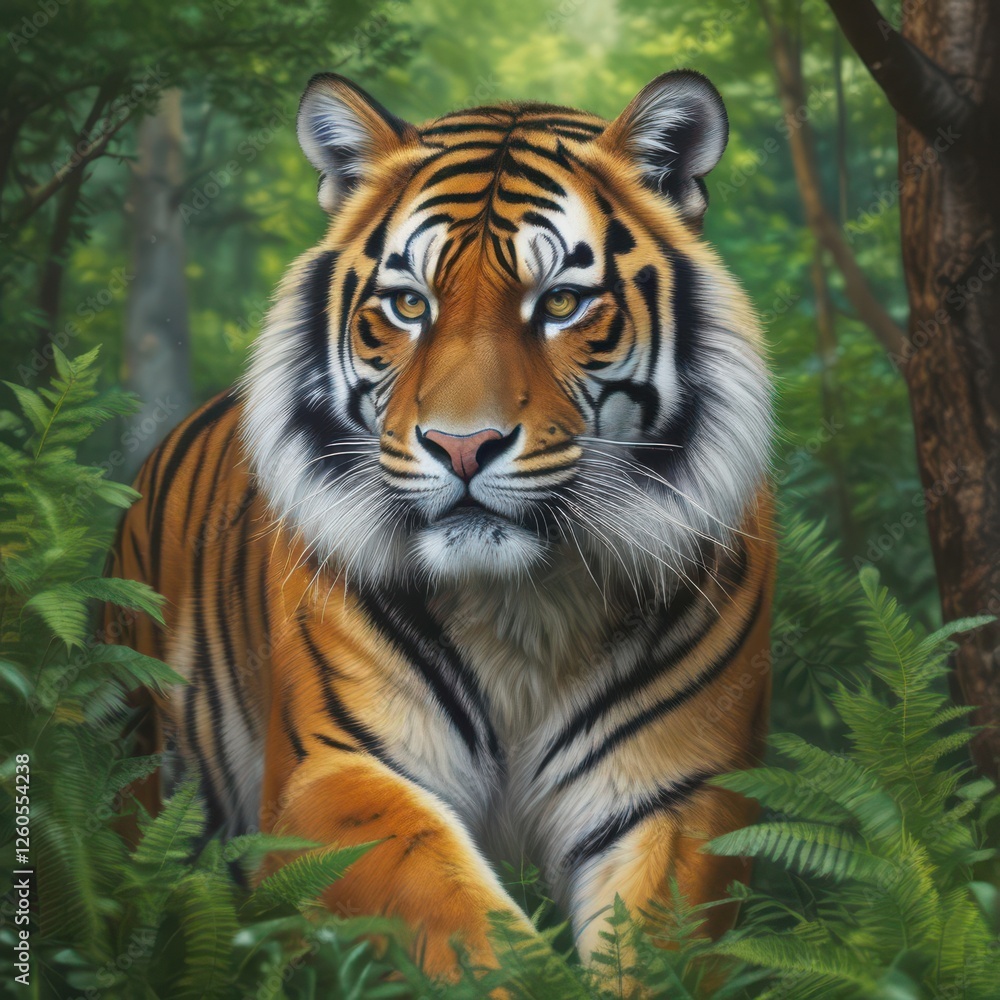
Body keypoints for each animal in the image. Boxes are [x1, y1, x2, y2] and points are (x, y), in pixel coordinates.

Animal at [105, 68, 775, 983]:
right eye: (406, 304)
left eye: (562, 302)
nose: (463, 446)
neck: (526, 605)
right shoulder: (333, 775)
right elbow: (470, 930)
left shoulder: (682, 795)